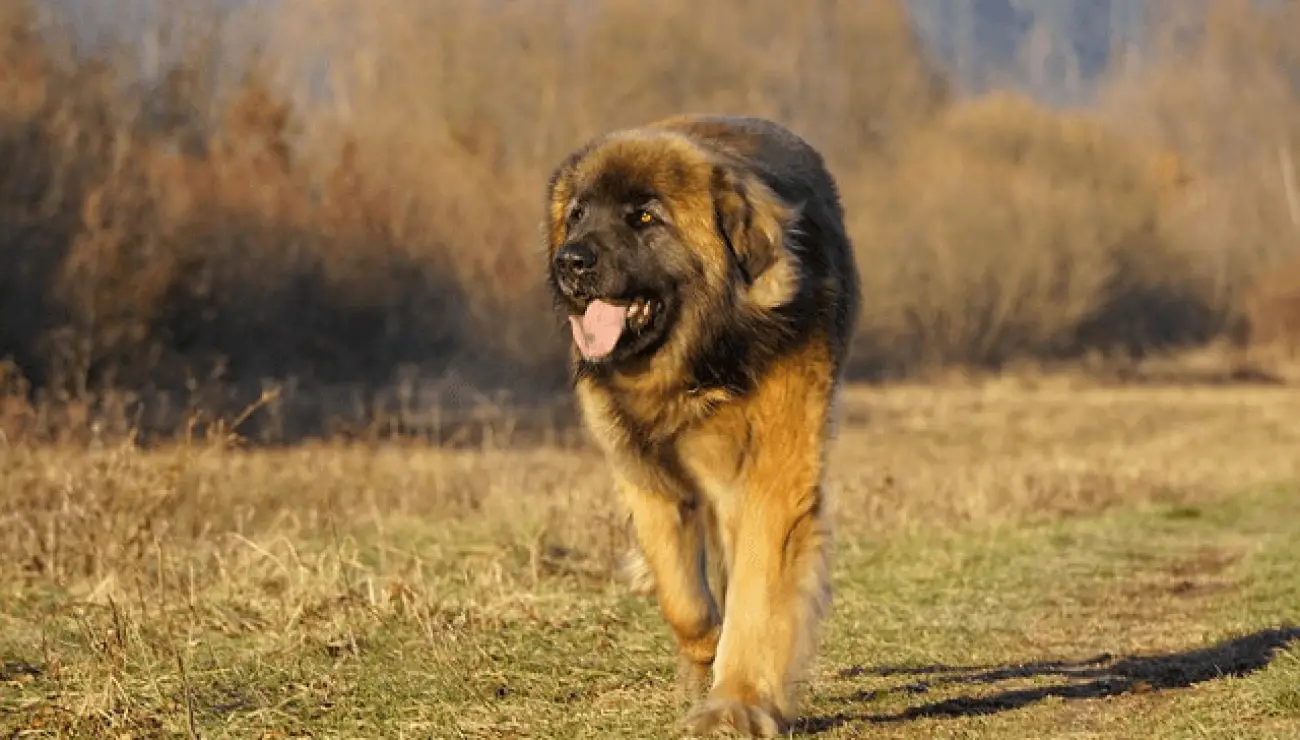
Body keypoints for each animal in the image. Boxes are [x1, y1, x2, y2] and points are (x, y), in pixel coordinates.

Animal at [543, 113, 857, 733]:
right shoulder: (645, 476)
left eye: (645, 217)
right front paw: (705, 653)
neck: (699, 363)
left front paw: (737, 701)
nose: (570, 261)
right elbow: (683, 599)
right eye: (579, 214)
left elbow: (758, 595)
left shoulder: (771, 480)